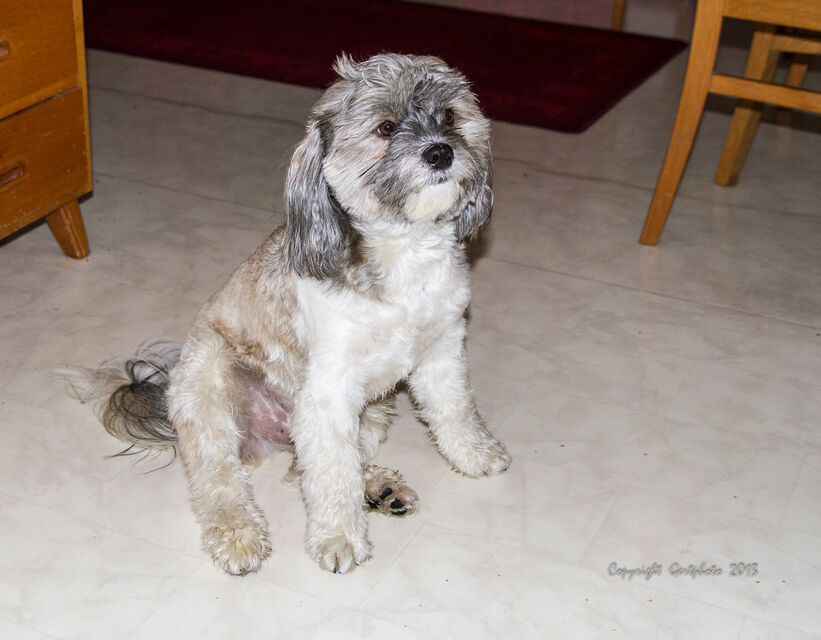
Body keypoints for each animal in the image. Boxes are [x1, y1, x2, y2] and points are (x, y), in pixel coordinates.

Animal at [71, 53, 511, 576]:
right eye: (385, 127)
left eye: (449, 116)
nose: (441, 153)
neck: (405, 255)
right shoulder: (329, 390)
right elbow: (330, 475)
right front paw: (338, 537)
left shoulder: (441, 353)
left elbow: (454, 410)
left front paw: (474, 454)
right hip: (208, 382)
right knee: (221, 481)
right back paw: (238, 534)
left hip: (373, 411)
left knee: (313, 466)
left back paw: (378, 488)